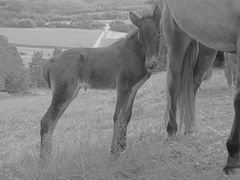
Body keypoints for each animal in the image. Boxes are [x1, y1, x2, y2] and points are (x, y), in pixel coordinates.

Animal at [39, 6, 161, 161]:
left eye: (158, 35)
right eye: (141, 38)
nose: (151, 65)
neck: (134, 54)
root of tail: (50, 61)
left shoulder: (134, 88)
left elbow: (127, 117)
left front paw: (123, 148)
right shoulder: (123, 86)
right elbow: (118, 117)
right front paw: (114, 153)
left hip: (68, 93)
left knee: (52, 122)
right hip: (64, 92)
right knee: (47, 121)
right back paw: (45, 160)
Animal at [152, 0, 240, 174]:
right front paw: (232, 160)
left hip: (207, 47)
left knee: (192, 86)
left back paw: (190, 128)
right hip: (177, 39)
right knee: (174, 86)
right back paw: (172, 132)